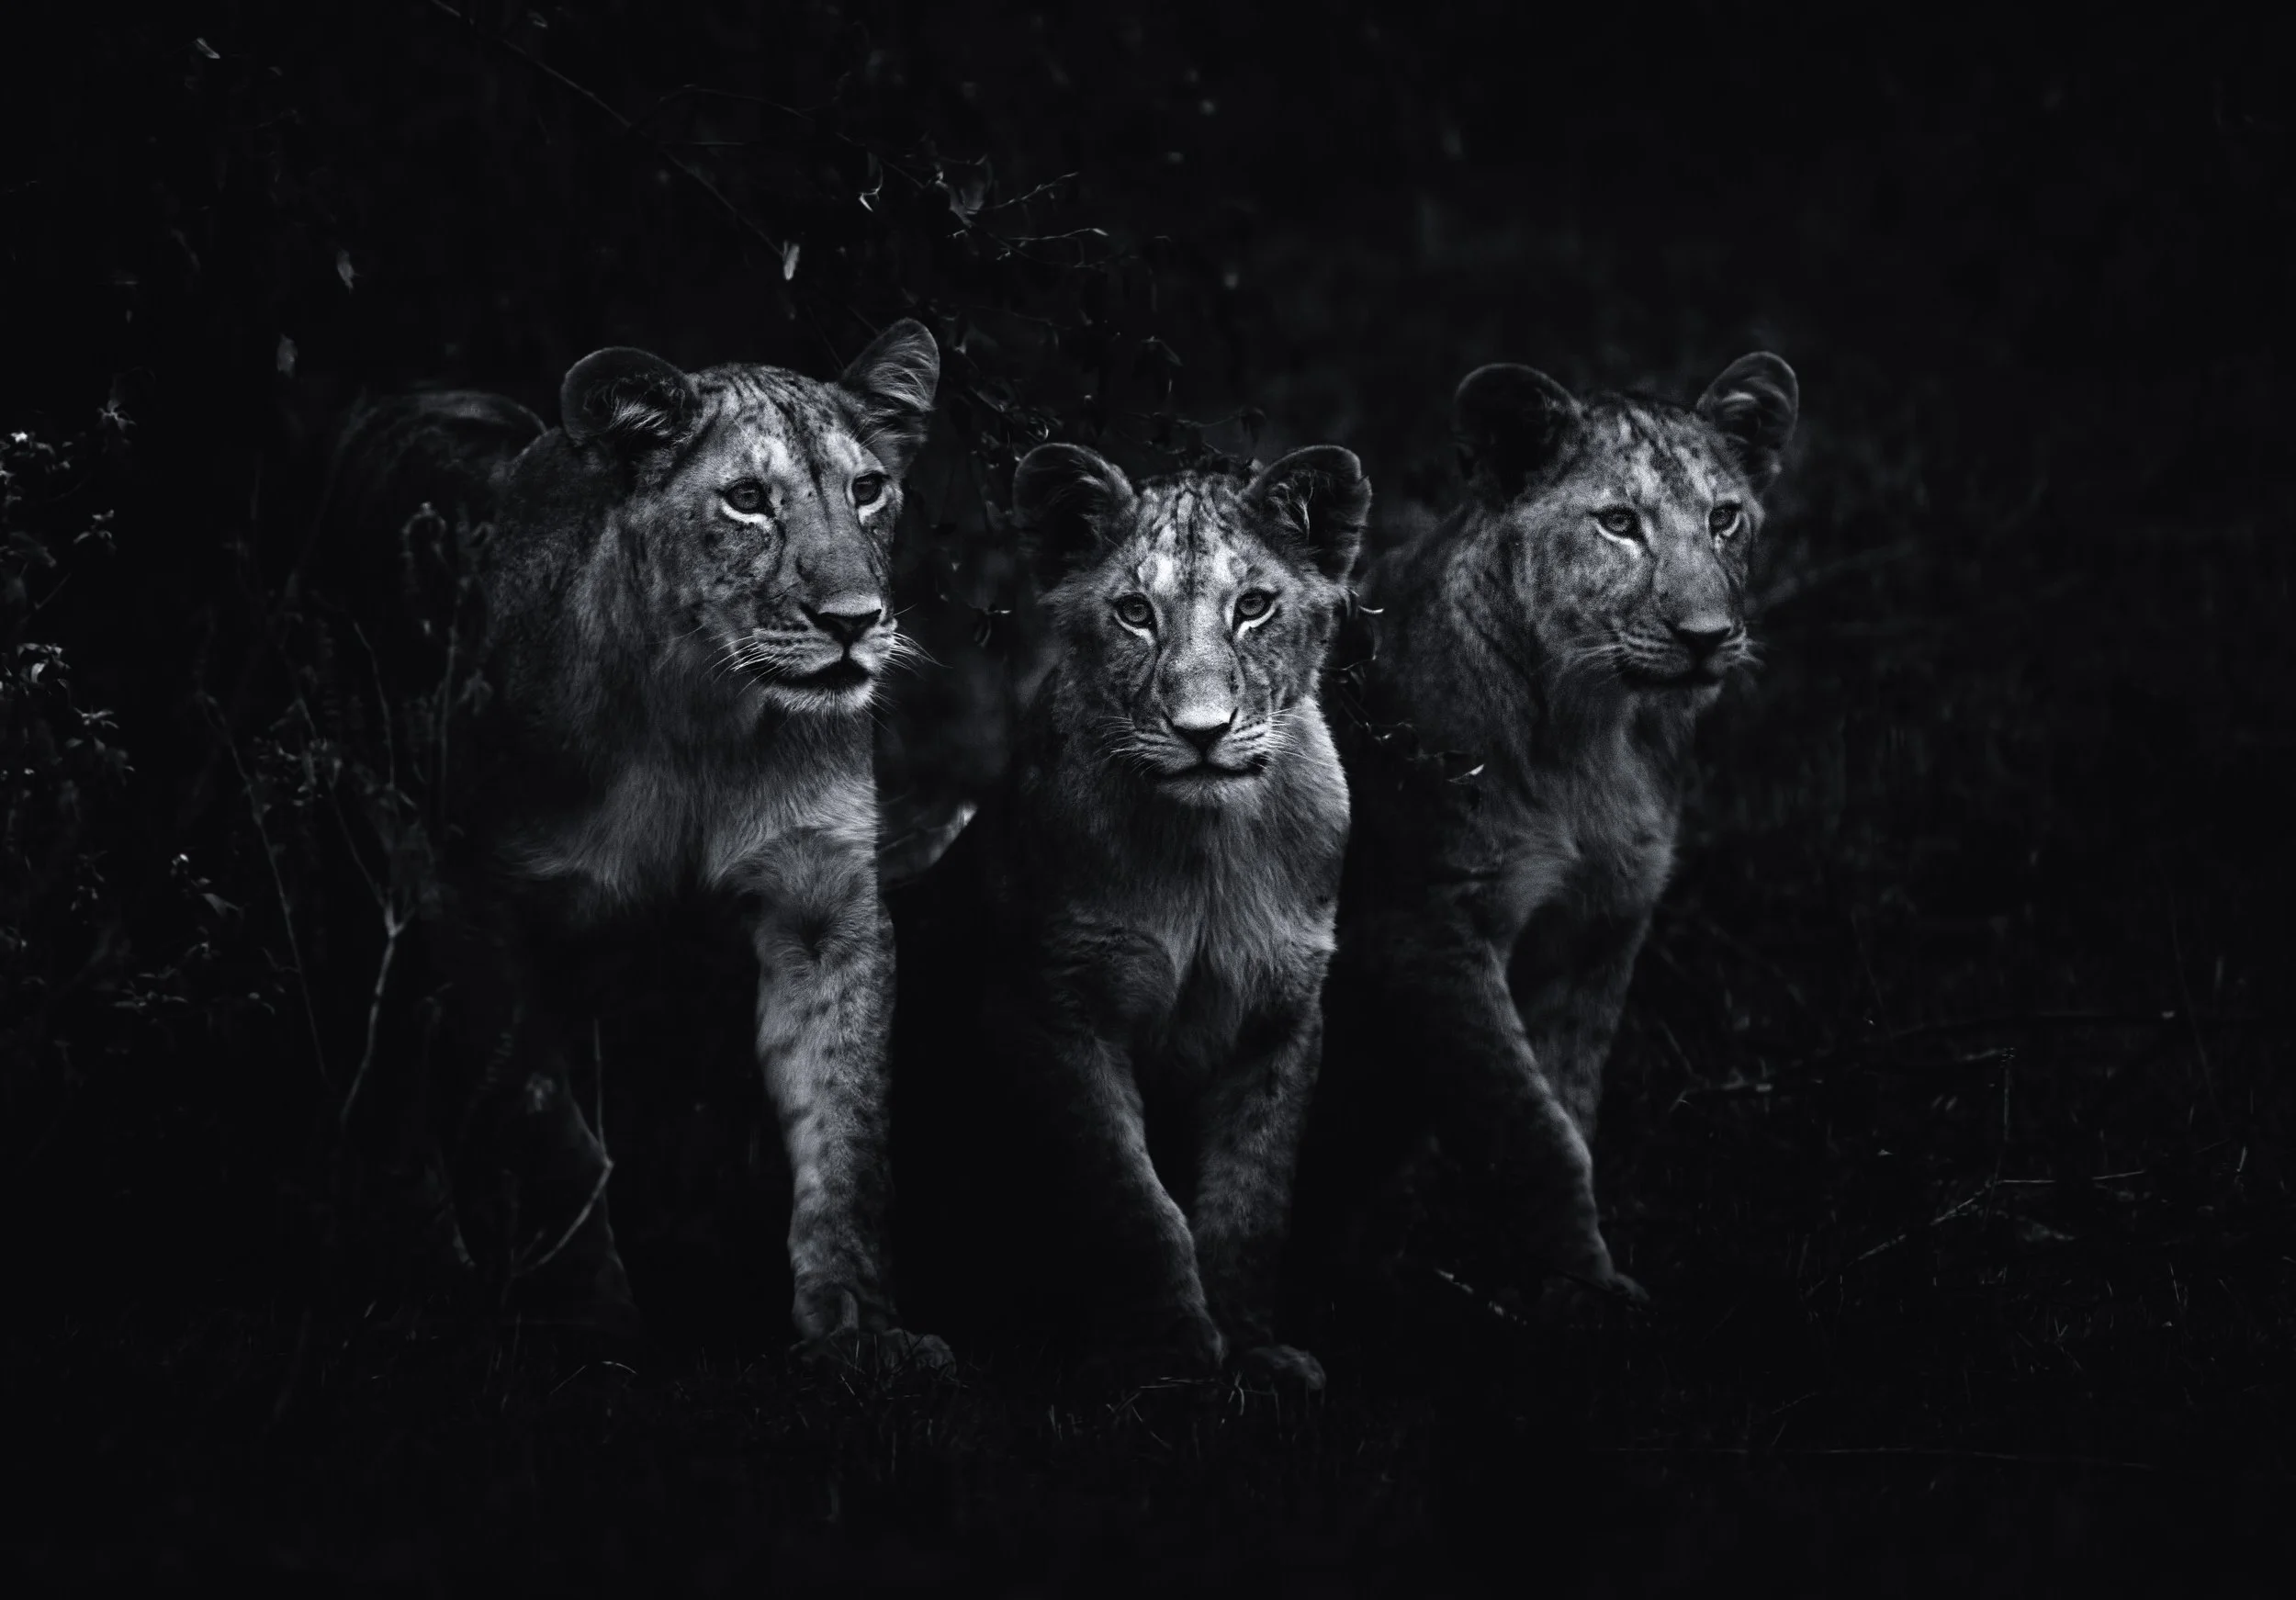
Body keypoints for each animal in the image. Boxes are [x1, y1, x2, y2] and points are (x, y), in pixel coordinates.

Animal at [325, 319, 947, 1365]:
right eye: (747, 500)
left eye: (868, 488)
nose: (854, 622)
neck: (701, 712)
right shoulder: (479, 901)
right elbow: (548, 1127)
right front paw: (590, 1325)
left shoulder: (824, 903)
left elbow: (847, 1126)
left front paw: (859, 1329)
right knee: (395, 1078)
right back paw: (429, 1281)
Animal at [891, 442, 1369, 1387]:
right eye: (1135, 613)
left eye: (1253, 607)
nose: (1202, 732)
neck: (1207, 845)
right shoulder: (1052, 1008)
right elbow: (1130, 1198)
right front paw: (1171, 1353)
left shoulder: (1284, 1016)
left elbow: (1252, 1197)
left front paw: (1252, 1353)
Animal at [1297, 353, 1799, 1312]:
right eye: (1619, 524)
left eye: (1725, 518)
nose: (1708, 637)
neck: (1593, 736)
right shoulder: (1428, 930)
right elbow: (1533, 1130)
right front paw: (1587, 1297)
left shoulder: (1604, 926)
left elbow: (1567, 1101)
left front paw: (1570, 1281)